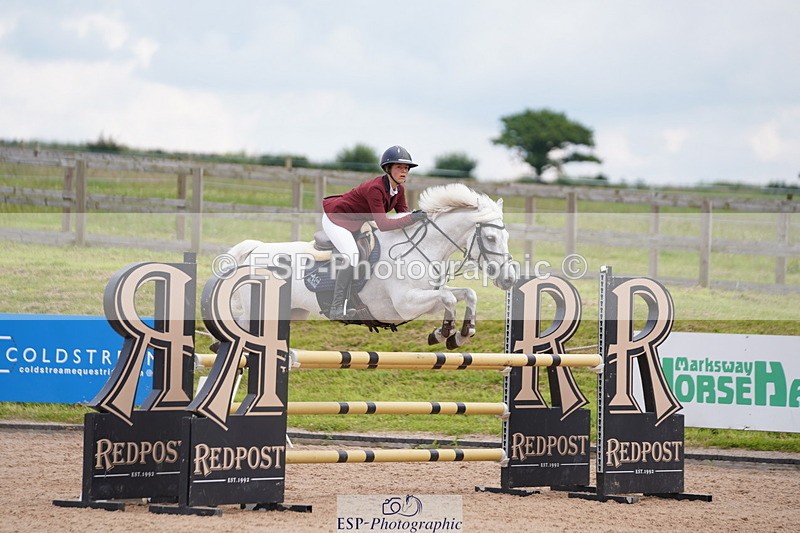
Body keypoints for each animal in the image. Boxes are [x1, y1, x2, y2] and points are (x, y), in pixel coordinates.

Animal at [225, 183, 519, 349]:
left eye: (506, 236)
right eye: (490, 238)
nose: (508, 280)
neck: (422, 250)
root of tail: (255, 249)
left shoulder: (426, 298)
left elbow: (466, 294)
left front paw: (459, 334)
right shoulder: (405, 303)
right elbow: (448, 297)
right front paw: (445, 332)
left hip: (291, 312)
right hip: (256, 312)